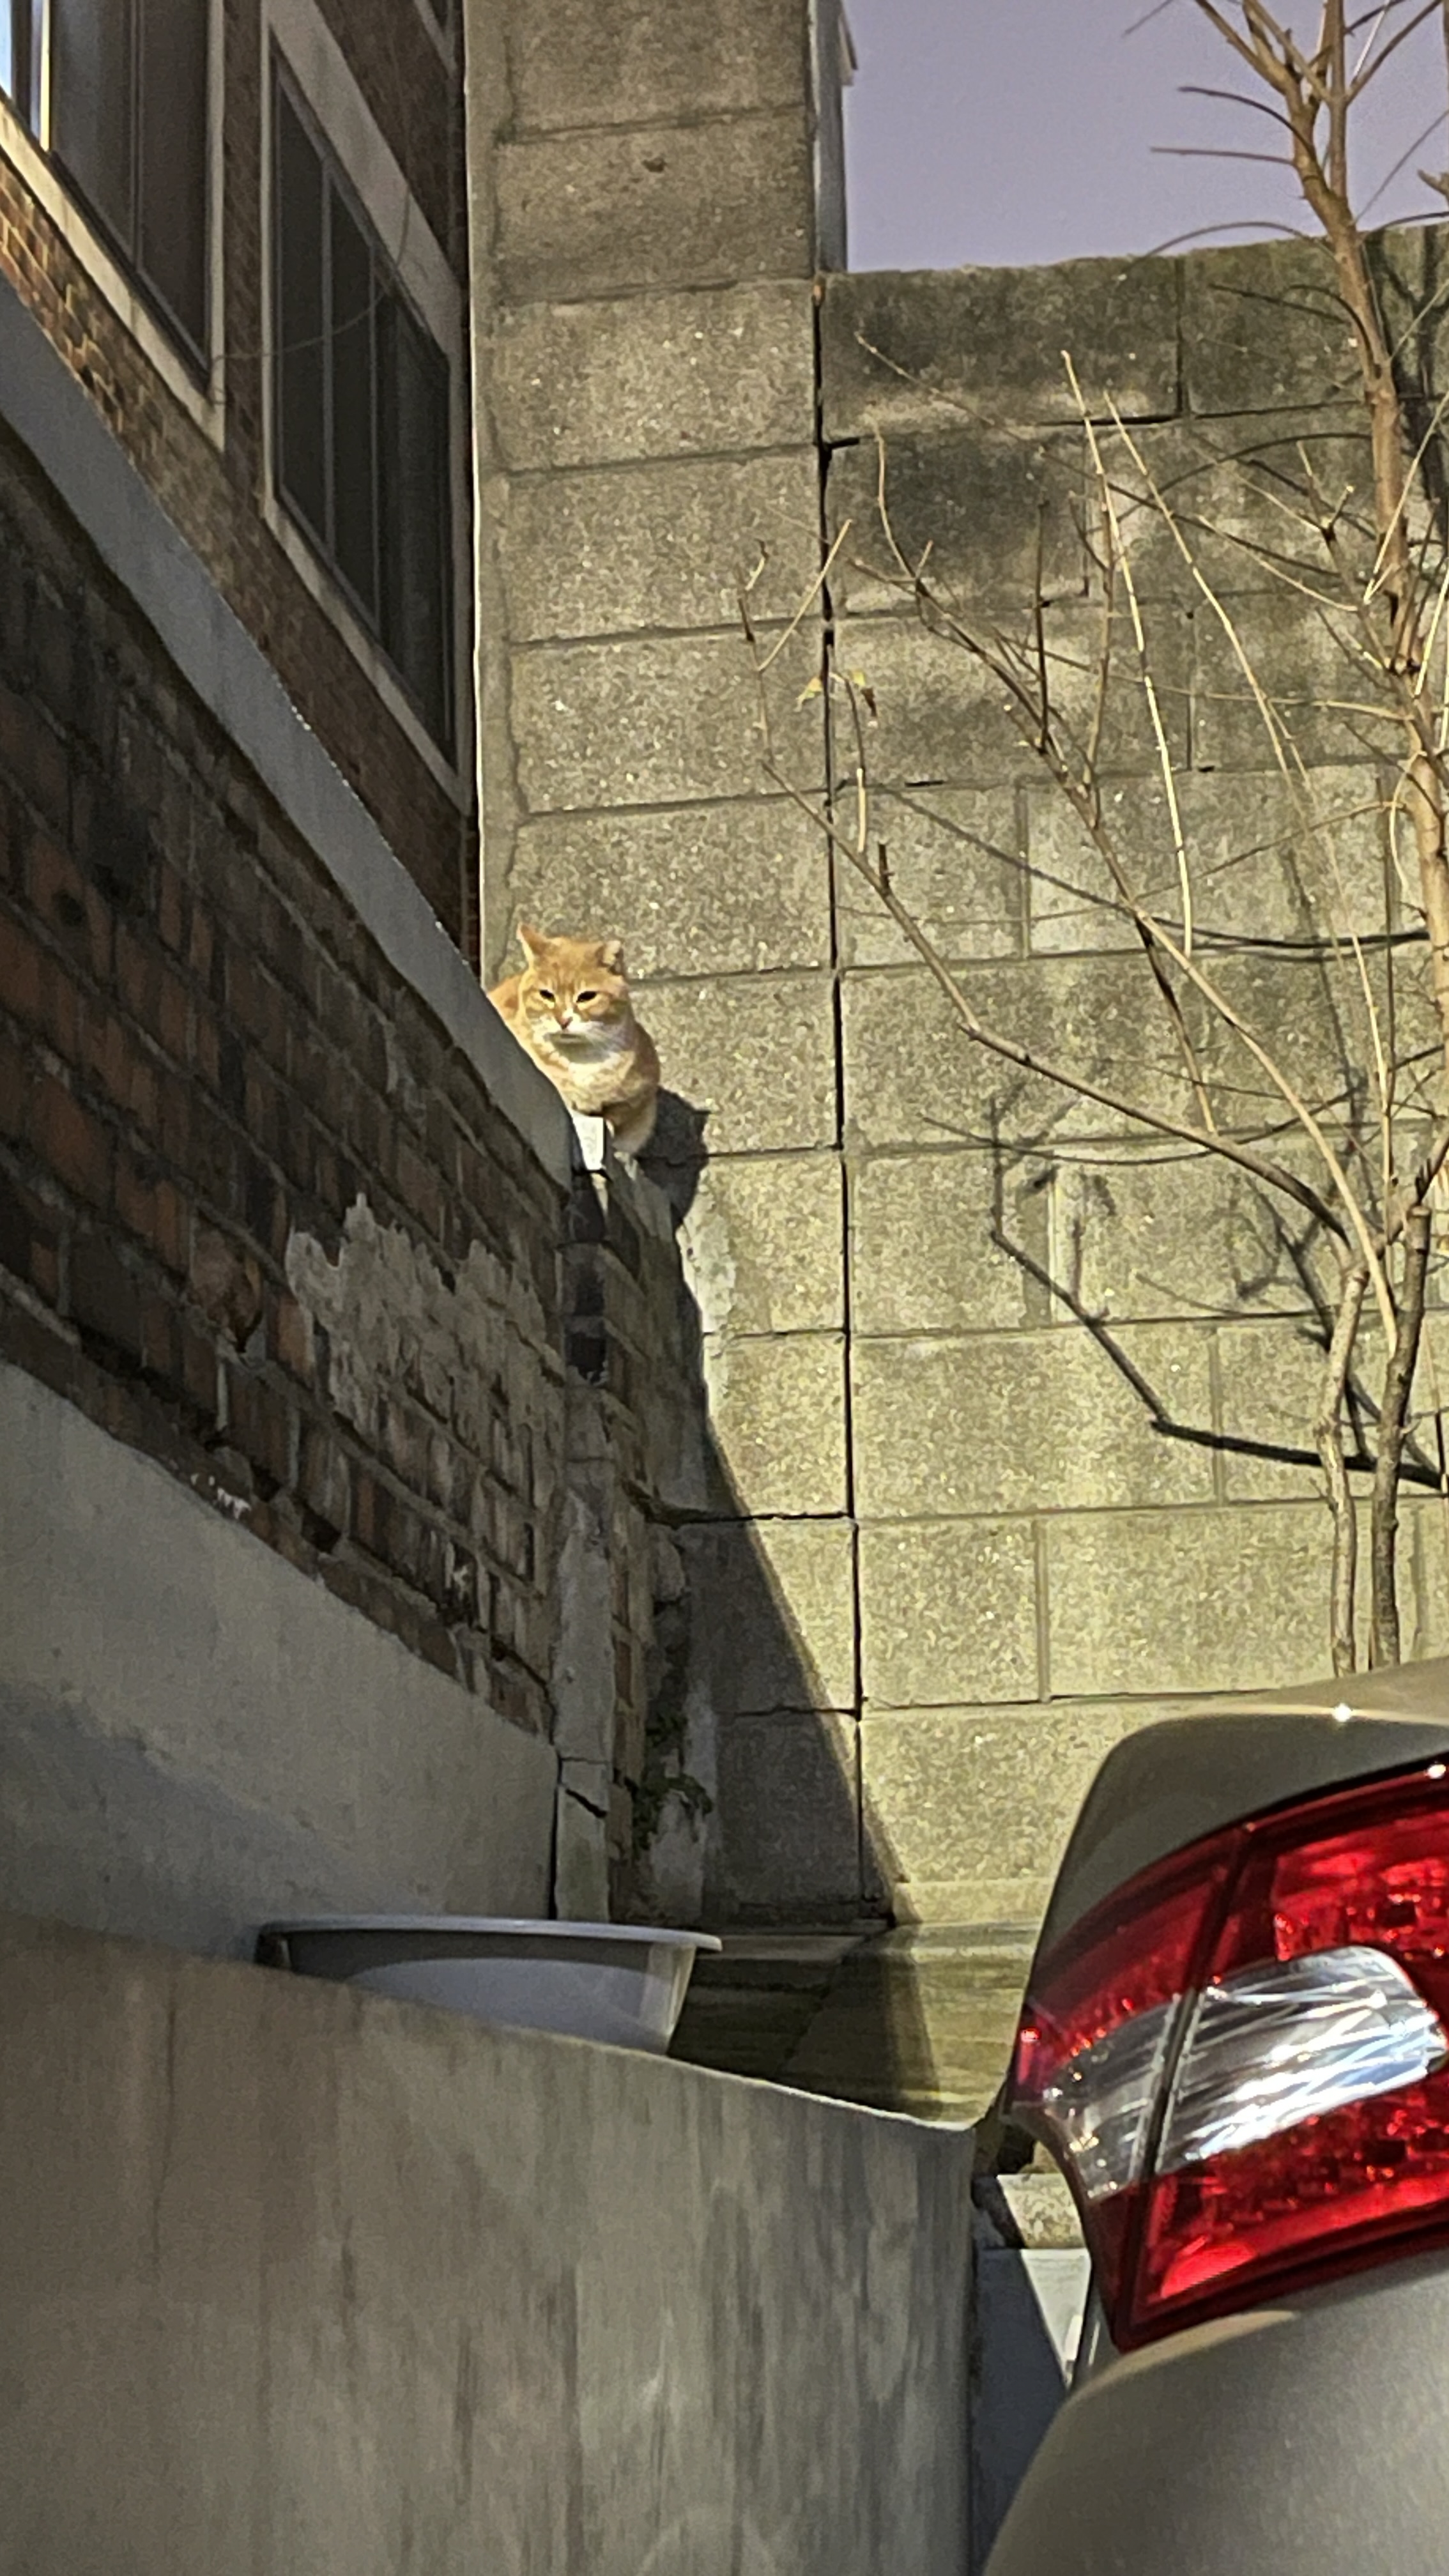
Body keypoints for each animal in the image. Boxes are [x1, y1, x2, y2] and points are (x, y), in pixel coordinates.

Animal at [488, 924, 660, 1155]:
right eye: (546, 994)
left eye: (586, 996)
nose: (563, 1020)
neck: (581, 1058)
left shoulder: (643, 1093)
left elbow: (619, 1110)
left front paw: (608, 1122)